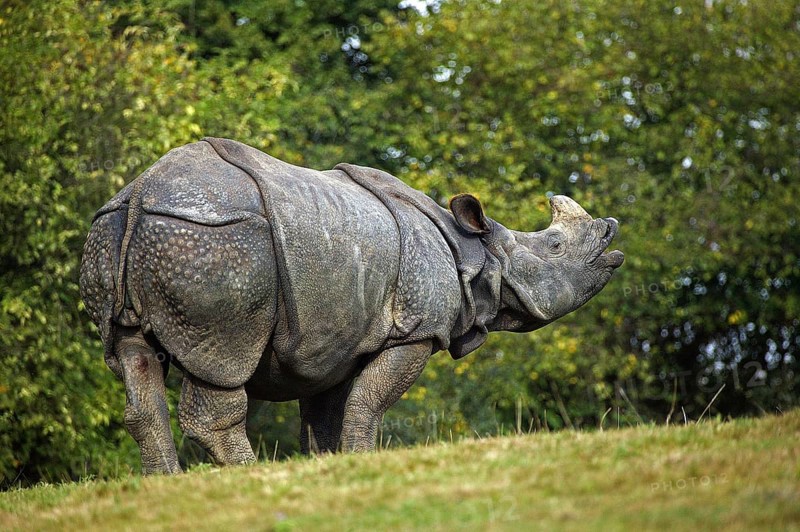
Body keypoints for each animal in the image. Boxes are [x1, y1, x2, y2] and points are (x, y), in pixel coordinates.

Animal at [79, 137, 623, 474]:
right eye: (554, 246)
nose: (612, 232)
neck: (475, 251)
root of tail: (141, 193)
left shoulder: (335, 341)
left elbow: (325, 417)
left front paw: (330, 468)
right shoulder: (415, 331)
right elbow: (368, 402)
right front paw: (363, 463)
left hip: (114, 234)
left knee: (133, 356)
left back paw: (164, 481)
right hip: (215, 241)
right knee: (223, 361)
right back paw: (248, 475)